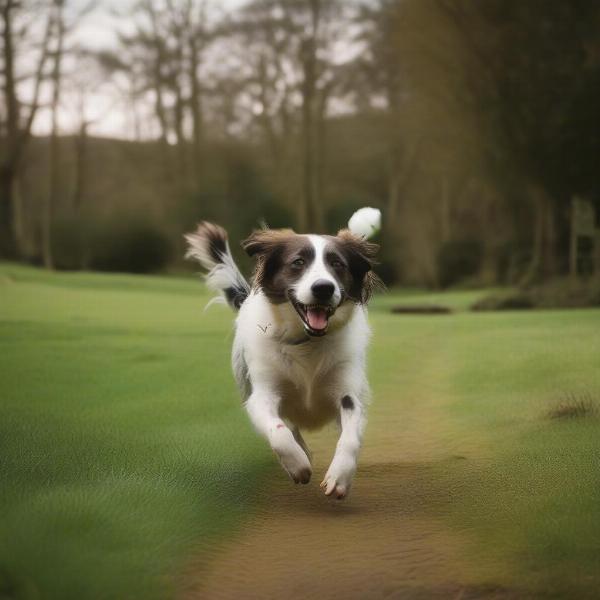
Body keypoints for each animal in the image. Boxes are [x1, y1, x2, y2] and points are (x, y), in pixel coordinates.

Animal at [184, 213, 380, 500]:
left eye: (337, 264)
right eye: (298, 262)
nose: (323, 288)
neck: (308, 341)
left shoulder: (349, 393)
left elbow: (350, 437)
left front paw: (340, 478)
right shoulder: (262, 393)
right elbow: (277, 431)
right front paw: (297, 465)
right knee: (290, 426)